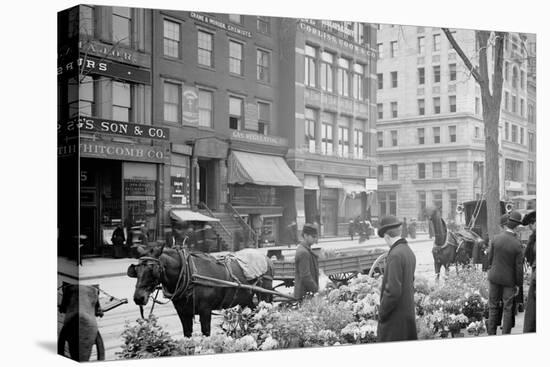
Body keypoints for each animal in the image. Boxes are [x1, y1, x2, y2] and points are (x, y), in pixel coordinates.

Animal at [130, 246, 276, 338]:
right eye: (136, 270)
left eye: (152, 269)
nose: (138, 298)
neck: (188, 274)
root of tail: (266, 258)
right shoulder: (183, 312)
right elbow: (187, 334)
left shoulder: (205, 310)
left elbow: (206, 333)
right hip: (245, 298)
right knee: (253, 314)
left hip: (265, 294)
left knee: (266, 314)